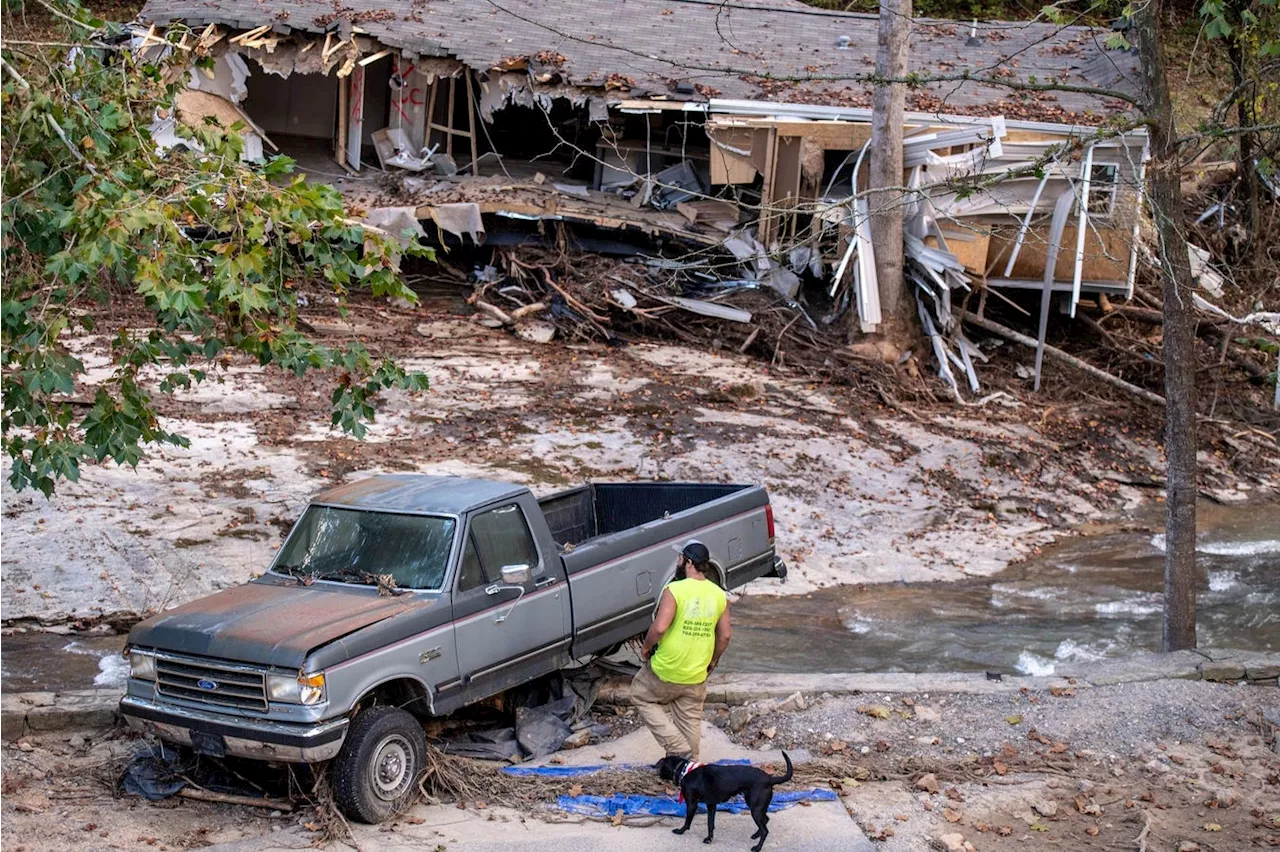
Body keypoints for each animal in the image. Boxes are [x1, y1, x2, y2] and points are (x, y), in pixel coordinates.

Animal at [655, 752, 793, 849]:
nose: (656, 772)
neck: (684, 770)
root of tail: (770, 778)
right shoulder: (711, 805)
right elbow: (710, 824)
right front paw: (709, 839)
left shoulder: (692, 804)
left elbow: (688, 821)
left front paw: (680, 831)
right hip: (757, 807)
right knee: (766, 820)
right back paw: (755, 835)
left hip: (755, 809)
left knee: (765, 830)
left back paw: (757, 847)